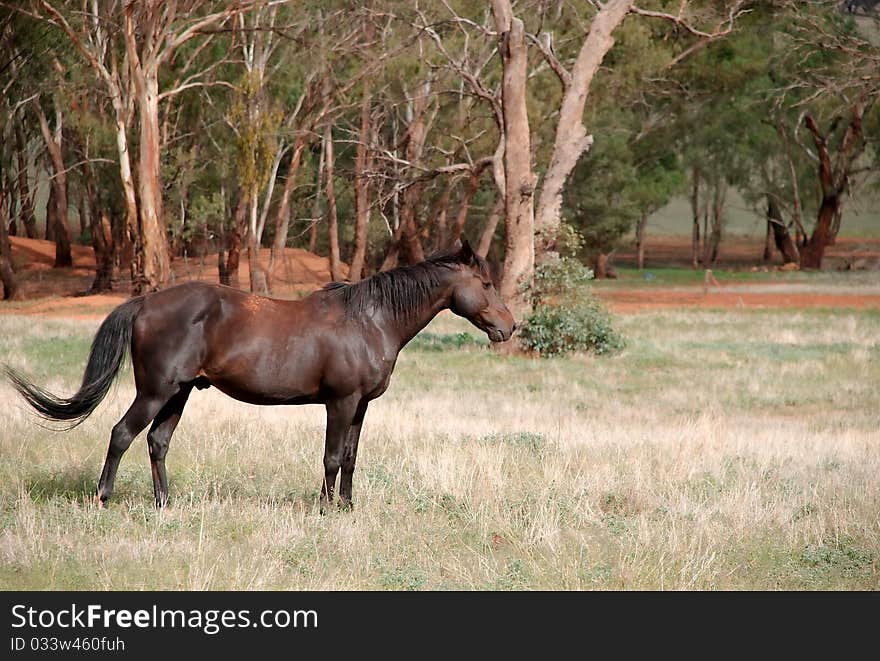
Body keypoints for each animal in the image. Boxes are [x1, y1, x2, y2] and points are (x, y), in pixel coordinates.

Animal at [5, 242, 516, 510]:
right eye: (487, 283)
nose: (509, 327)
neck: (370, 320)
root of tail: (146, 303)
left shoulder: (361, 406)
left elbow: (351, 458)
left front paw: (348, 507)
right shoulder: (341, 401)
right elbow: (332, 457)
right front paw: (327, 510)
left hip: (179, 393)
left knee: (157, 442)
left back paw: (165, 504)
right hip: (155, 391)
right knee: (121, 434)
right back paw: (104, 498)